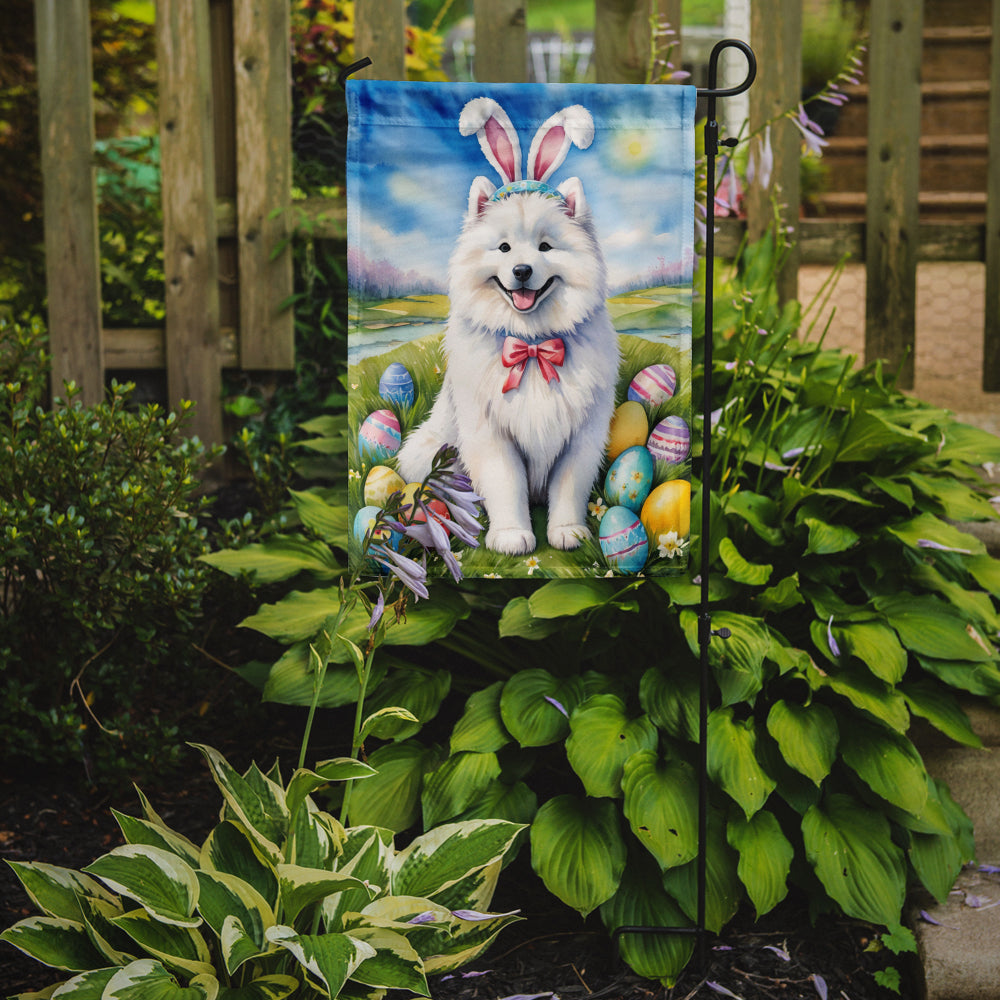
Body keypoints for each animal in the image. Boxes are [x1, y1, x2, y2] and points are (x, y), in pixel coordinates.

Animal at [396, 95, 616, 556]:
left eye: (546, 246)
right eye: (503, 247)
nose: (521, 270)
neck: (531, 344)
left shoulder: (581, 436)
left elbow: (569, 487)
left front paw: (567, 532)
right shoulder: (491, 434)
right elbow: (505, 485)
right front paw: (512, 536)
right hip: (428, 450)